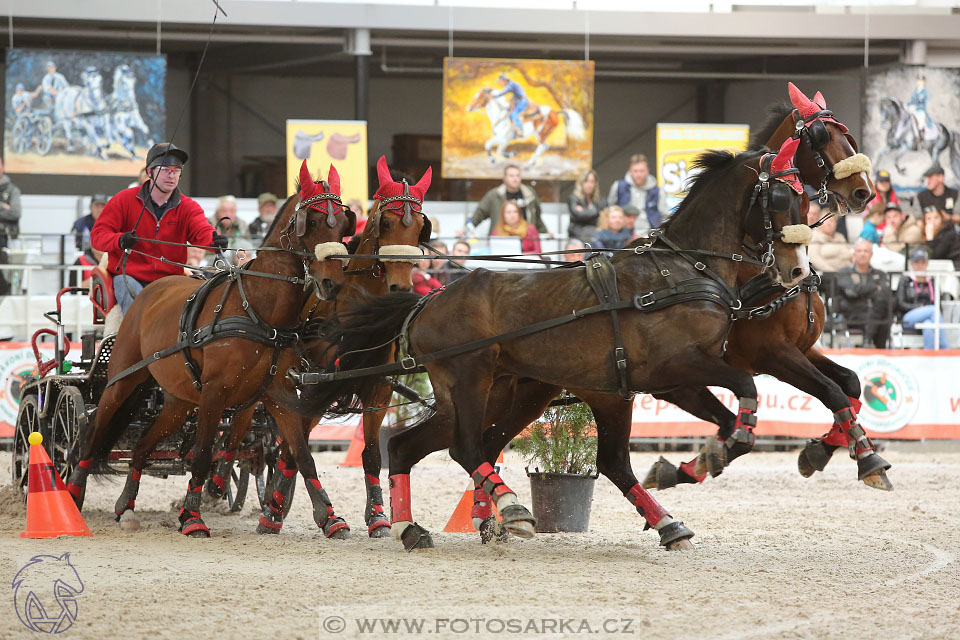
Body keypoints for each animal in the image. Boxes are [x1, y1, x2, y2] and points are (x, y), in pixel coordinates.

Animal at [66, 159, 356, 536]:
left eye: (345, 226)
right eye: (314, 221)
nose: (332, 283)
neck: (259, 309)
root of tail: (151, 291)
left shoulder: (277, 393)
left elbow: (302, 455)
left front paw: (329, 517)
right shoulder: (215, 392)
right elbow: (204, 454)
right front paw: (191, 517)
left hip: (178, 402)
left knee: (143, 447)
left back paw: (126, 508)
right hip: (121, 382)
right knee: (92, 434)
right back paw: (73, 494)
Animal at [210, 156, 436, 540]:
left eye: (421, 225)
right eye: (386, 222)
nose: (401, 287)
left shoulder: (377, 391)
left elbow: (370, 455)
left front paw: (377, 517)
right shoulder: (319, 386)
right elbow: (293, 449)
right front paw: (282, 514)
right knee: (237, 430)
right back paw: (219, 482)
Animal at [302, 142, 808, 552]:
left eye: (809, 196)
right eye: (783, 197)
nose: (798, 269)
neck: (679, 269)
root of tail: (429, 298)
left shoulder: (657, 386)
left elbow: (719, 421)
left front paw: (693, 467)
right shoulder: (676, 369)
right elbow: (745, 389)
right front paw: (711, 456)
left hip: (498, 393)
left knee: (412, 447)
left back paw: (413, 529)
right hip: (470, 381)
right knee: (465, 447)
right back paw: (510, 509)